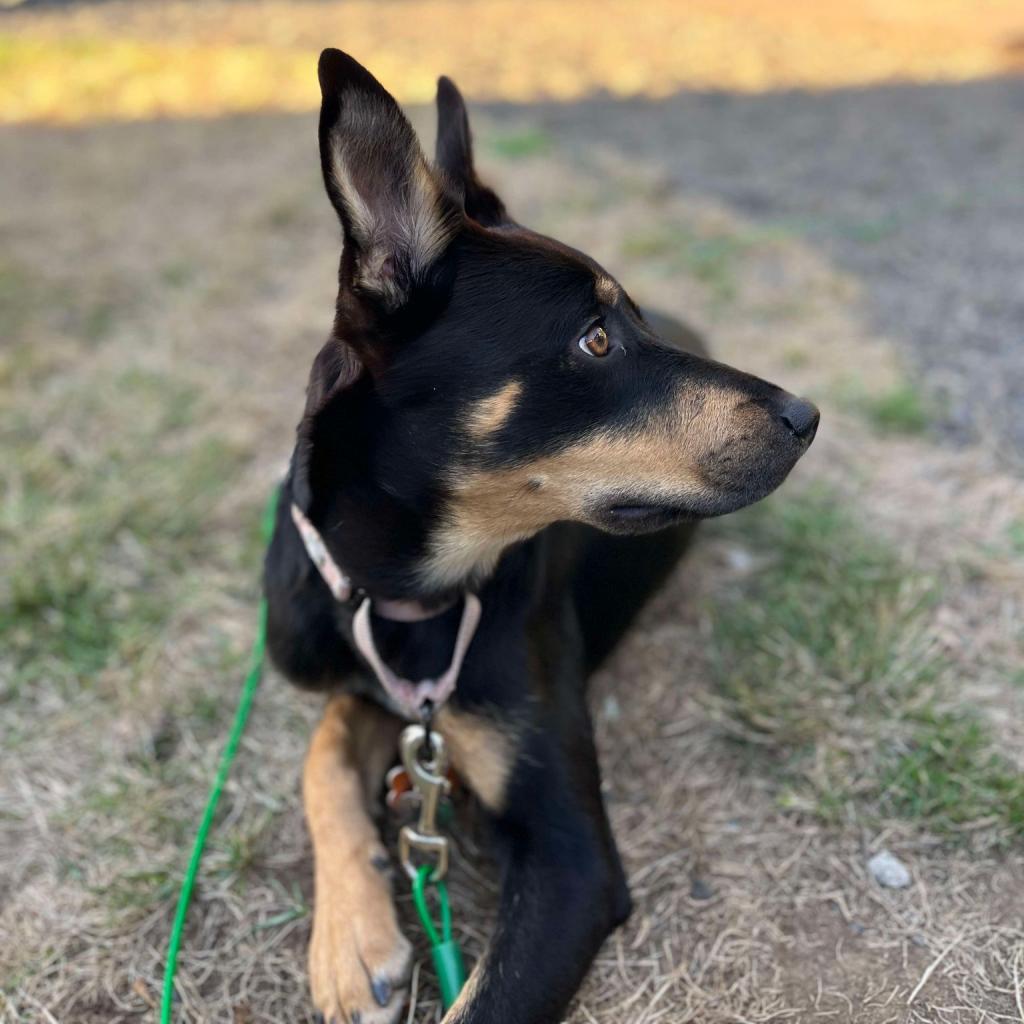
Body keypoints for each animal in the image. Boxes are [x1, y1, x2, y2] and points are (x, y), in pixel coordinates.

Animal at [266, 49, 823, 1024]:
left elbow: (483, 1002)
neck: (414, 591)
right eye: (596, 340)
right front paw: (352, 941)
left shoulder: (571, 863)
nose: (807, 416)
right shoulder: (359, 664)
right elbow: (324, 745)